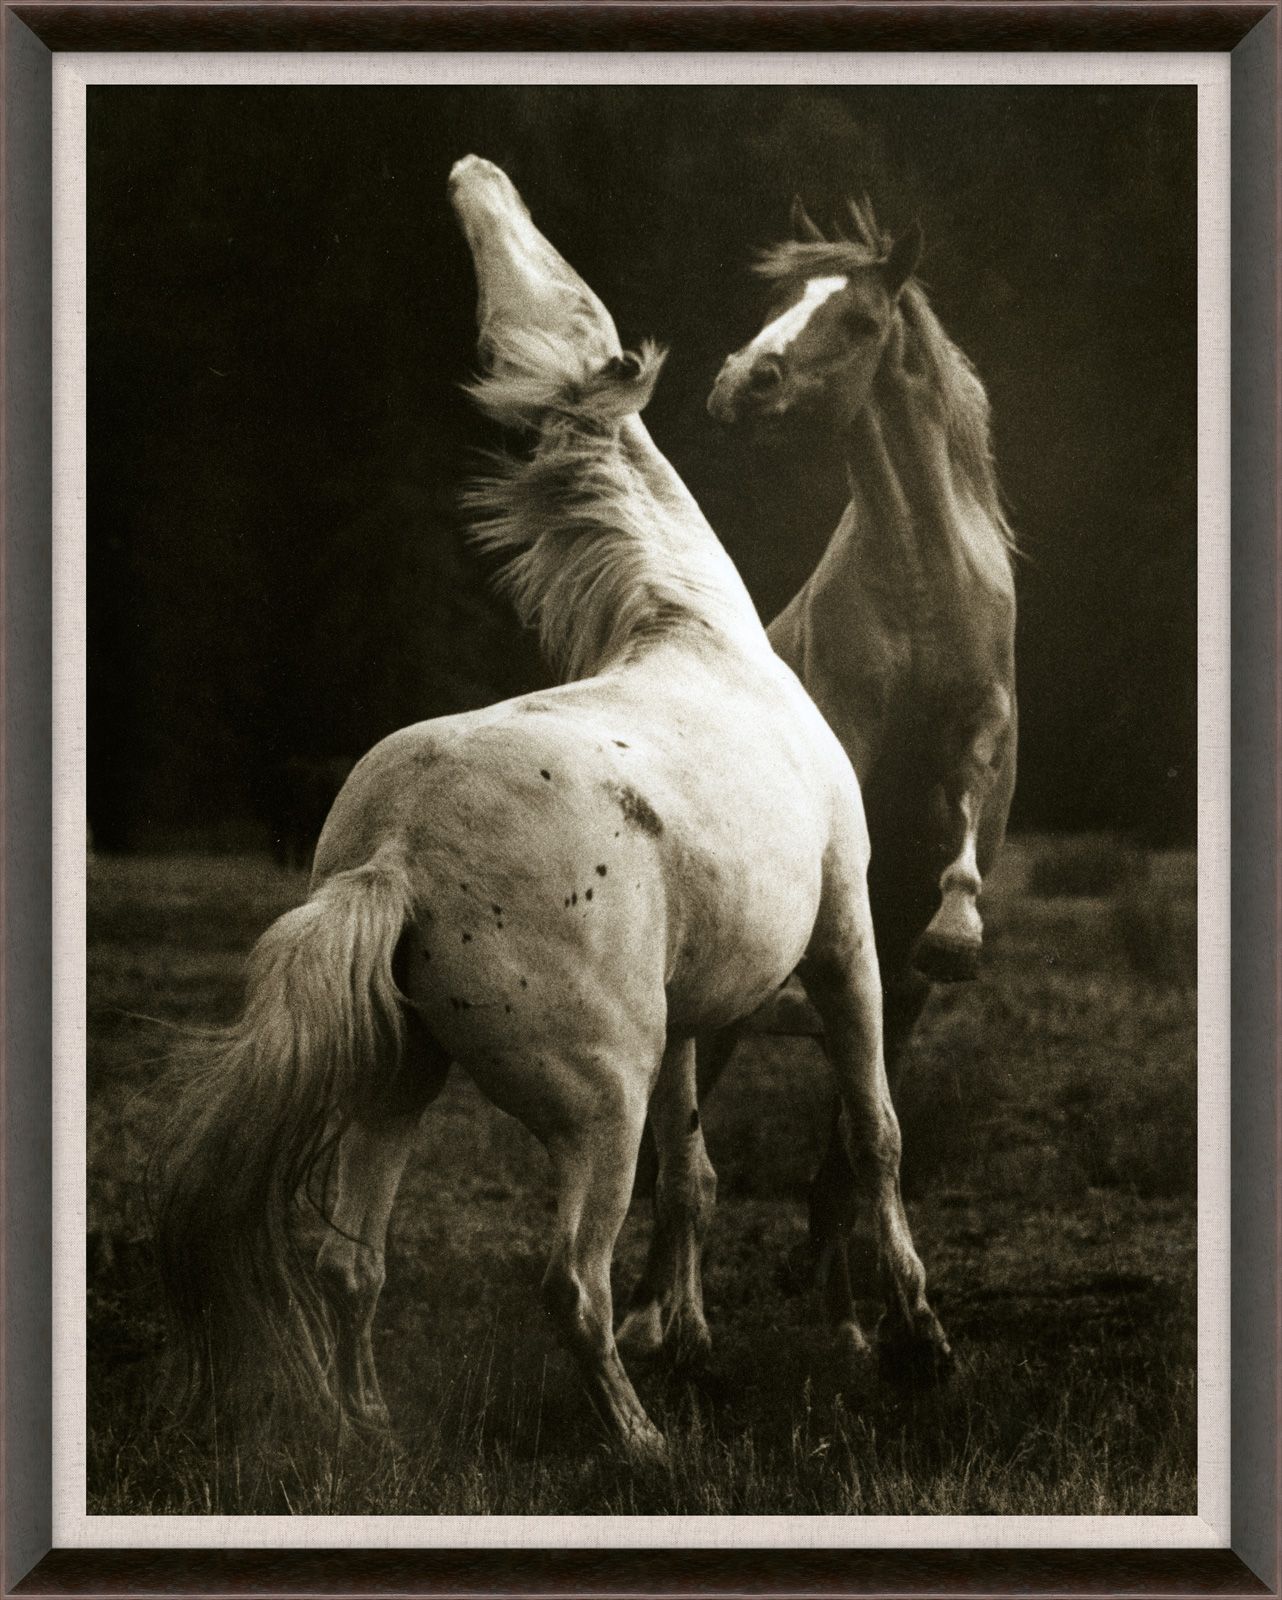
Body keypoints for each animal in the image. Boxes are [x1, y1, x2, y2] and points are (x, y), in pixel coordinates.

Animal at [151, 159, 950, 1465]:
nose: (474, 176)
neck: (699, 629)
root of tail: (397, 856)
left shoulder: (688, 1015)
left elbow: (696, 1166)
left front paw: (697, 1335)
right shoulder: (844, 935)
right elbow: (874, 1133)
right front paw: (919, 1342)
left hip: (400, 1079)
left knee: (350, 1261)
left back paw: (373, 1430)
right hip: (592, 1104)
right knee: (566, 1278)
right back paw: (643, 1443)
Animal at [622, 196, 1016, 1361]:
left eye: (859, 317)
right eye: (783, 302)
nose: (737, 382)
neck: (923, 586)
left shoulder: (982, 723)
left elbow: (966, 809)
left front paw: (958, 926)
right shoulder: (842, 731)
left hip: (881, 1002)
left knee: (837, 1144)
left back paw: (847, 1322)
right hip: (722, 1012)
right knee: (676, 1150)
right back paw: (663, 1312)